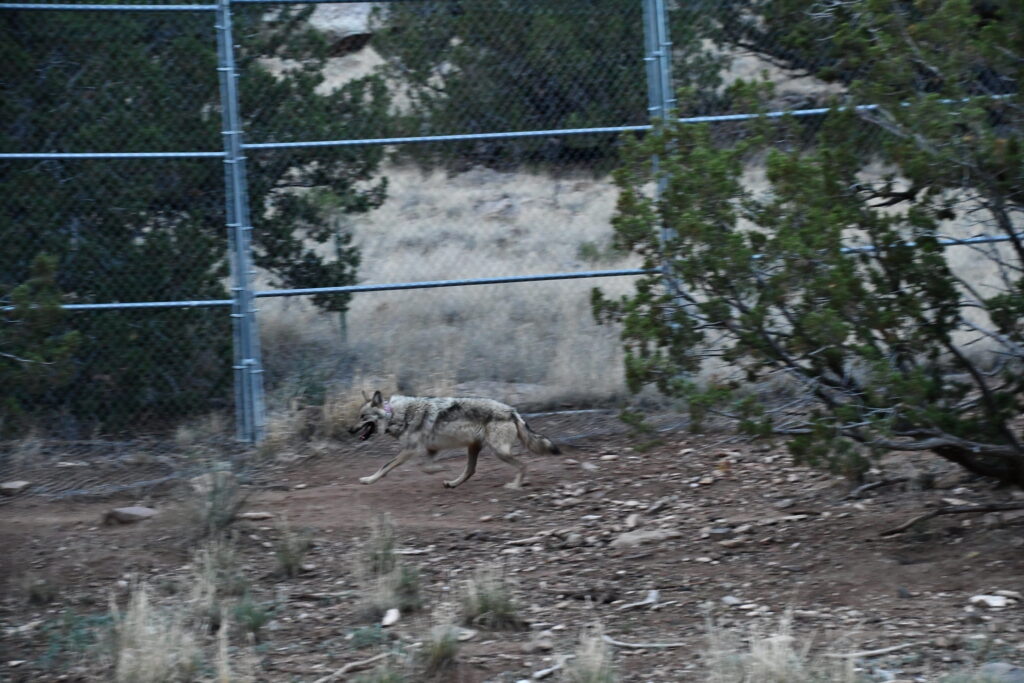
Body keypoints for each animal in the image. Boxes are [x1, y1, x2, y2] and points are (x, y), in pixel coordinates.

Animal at [349, 390, 561, 489]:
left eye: (362, 417)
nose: (349, 430)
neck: (395, 414)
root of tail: (513, 411)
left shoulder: (410, 450)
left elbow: (385, 466)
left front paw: (369, 480)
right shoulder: (430, 450)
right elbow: (425, 467)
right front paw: (439, 469)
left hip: (498, 451)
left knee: (523, 465)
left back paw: (515, 486)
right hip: (474, 448)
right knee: (470, 471)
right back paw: (452, 483)